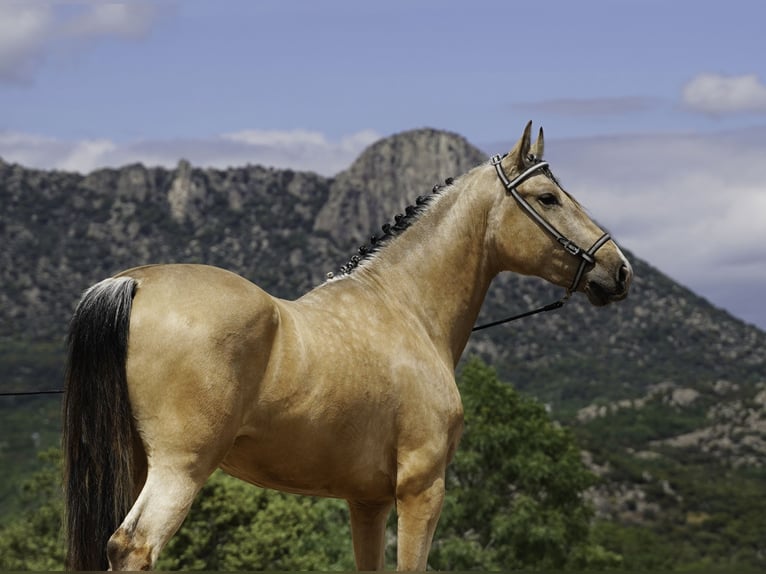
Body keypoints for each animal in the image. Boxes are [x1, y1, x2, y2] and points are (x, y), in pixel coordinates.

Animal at [62, 122, 632, 571]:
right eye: (548, 198)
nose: (619, 269)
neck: (403, 307)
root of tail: (133, 283)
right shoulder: (421, 489)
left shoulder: (367, 502)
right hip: (181, 468)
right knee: (133, 547)